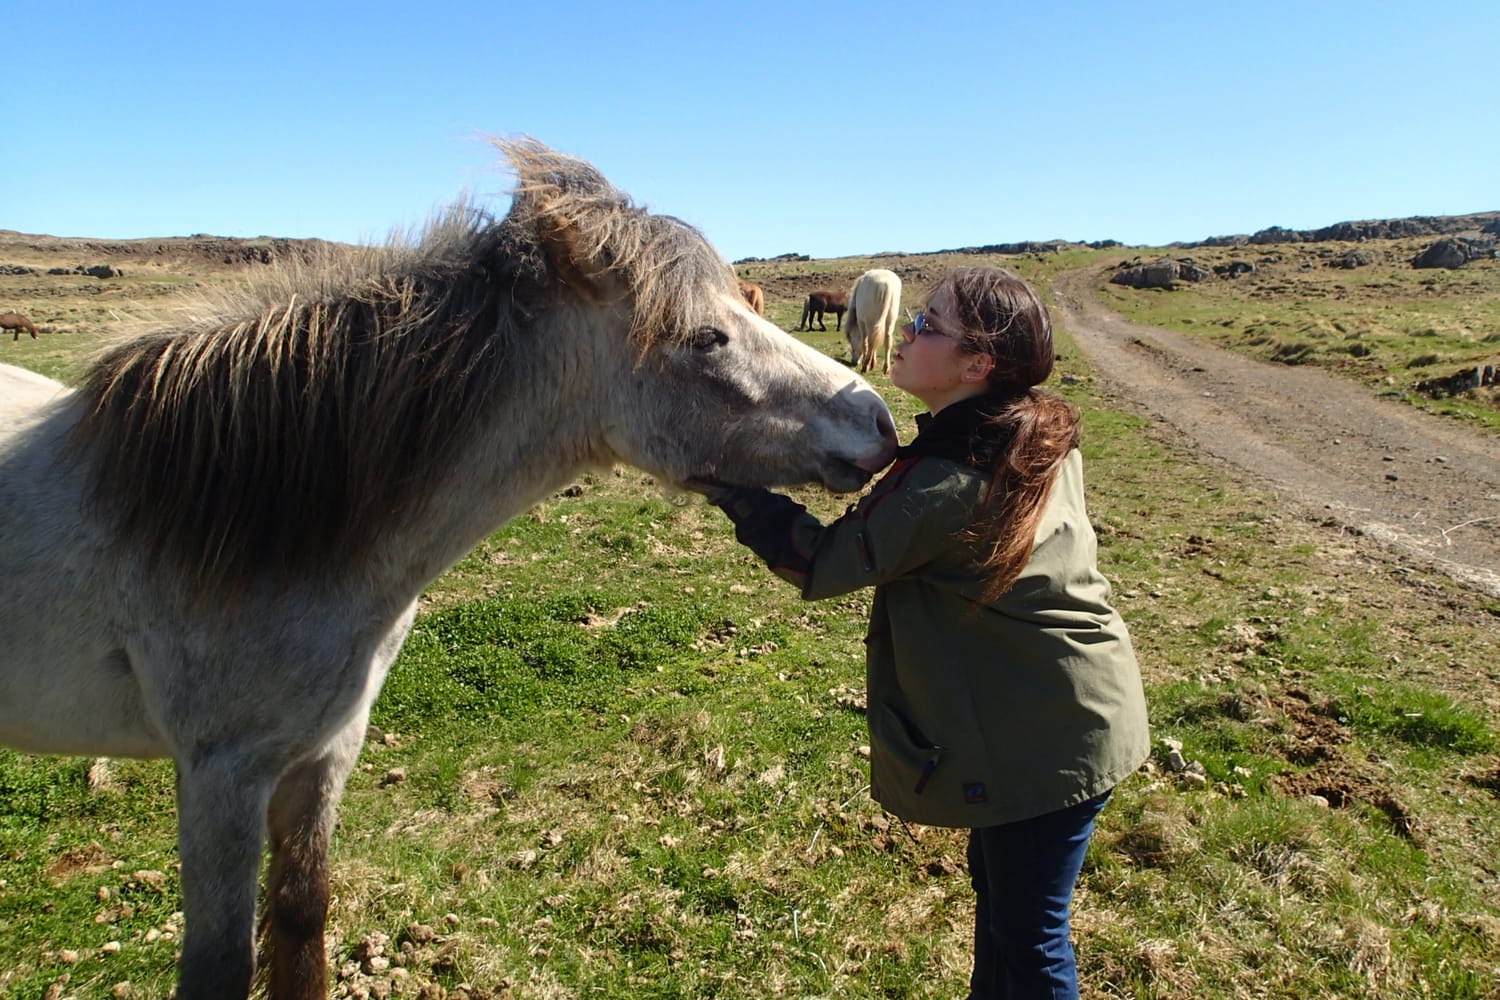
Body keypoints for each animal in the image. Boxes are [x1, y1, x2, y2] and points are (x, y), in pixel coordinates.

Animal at [0, 137, 898, 1000]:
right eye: (706, 337)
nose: (879, 423)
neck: (247, 518)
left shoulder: (324, 752)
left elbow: (301, 923)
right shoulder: (221, 777)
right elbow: (220, 967)